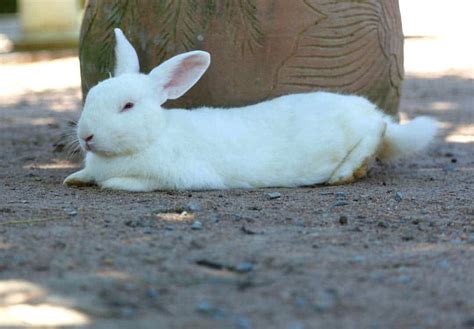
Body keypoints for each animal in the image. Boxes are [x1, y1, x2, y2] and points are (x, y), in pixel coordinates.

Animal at [65, 28, 438, 192]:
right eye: (91, 95)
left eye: (127, 106)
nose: (86, 136)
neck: (155, 136)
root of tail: (370, 110)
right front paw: (75, 177)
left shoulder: (180, 176)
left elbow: (126, 183)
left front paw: (111, 183)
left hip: (363, 130)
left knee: (375, 133)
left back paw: (346, 172)